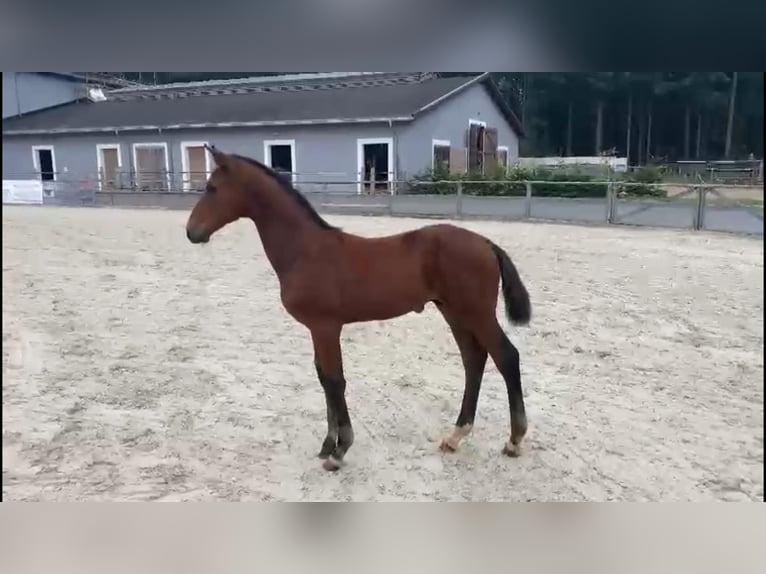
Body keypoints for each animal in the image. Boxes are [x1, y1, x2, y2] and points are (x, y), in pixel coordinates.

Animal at [187, 147, 536, 472]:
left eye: (212, 188)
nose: (192, 232)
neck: (305, 251)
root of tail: (486, 244)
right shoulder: (318, 329)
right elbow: (324, 379)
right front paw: (328, 445)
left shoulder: (326, 327)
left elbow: (334, 380)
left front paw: (339, 451)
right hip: (454, 313)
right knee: (473, 361)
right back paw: (455, 436)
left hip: (476, 313)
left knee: (506, 356)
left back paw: (514, 440)